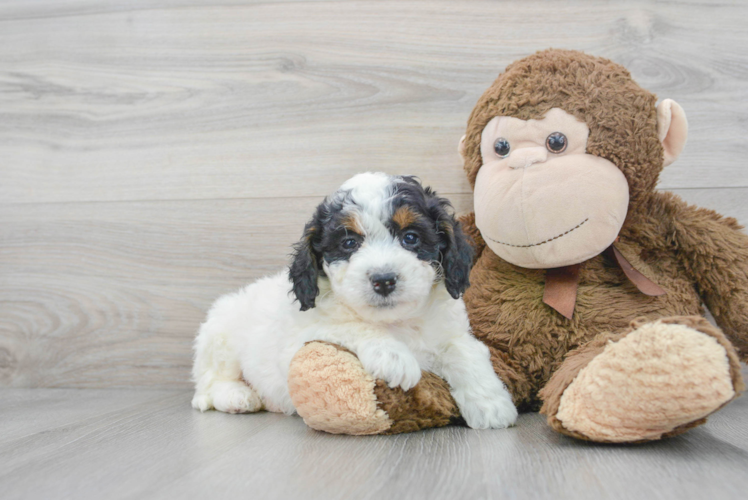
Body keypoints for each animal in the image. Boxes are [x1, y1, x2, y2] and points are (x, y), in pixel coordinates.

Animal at [193, 173, 516, 430]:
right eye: (349, 243)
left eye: (411, 237)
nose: (384, 280)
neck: (395, 322)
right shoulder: (300, 338)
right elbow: (347, 326)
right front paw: (393, 356)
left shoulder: (449, 331)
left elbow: (465, 352)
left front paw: (491, 403)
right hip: (219, 336)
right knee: (208, 384)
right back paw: (238, 396)